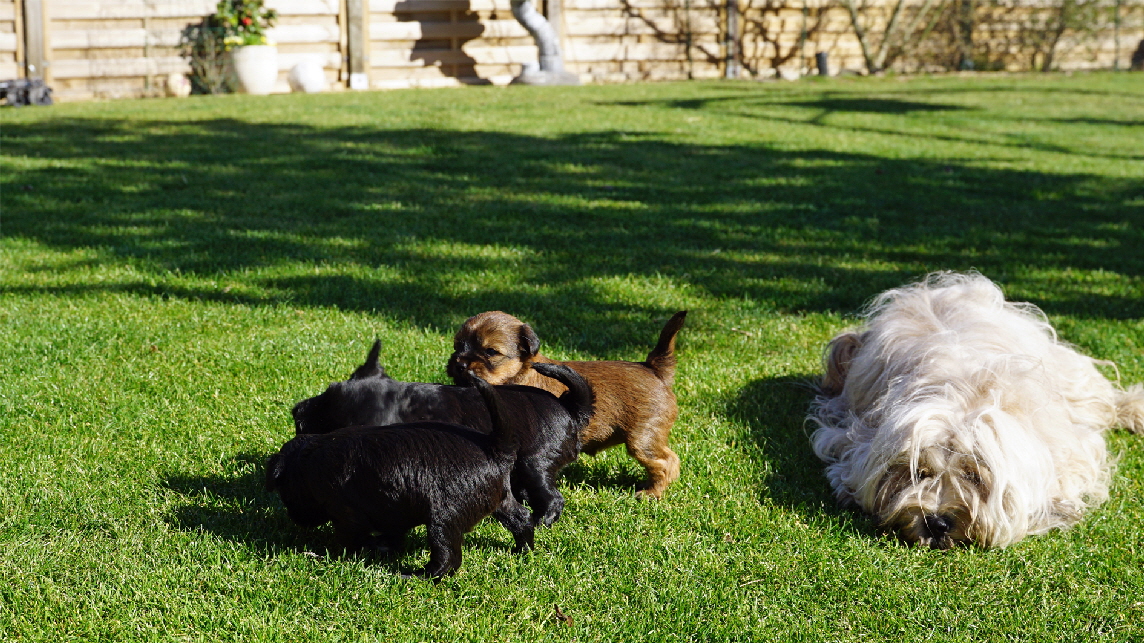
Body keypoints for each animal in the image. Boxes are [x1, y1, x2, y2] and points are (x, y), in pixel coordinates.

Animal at [266, 368, 530, 578]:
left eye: (285, 494)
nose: (295, 519)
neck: (307, 462)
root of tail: (495, 448)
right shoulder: (392, 509)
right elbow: (392, 533)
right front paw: (383, 546)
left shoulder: (346, 513)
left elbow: (350, 537)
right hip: (501, 500)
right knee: (522, 518)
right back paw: (523, 550)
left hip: (444, 519)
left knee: (448, 558)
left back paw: (418, 575)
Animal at [290, 340, 594, 526]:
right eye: (329, 390)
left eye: (329, 413)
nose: (297, 410)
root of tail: (570, 408)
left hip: (534, 465)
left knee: (552, 499)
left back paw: (541, 522)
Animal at [448, 308, 686, 496]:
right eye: (458, 346)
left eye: (490, 351)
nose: (459, 364)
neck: (520, 374)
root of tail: (652, 368)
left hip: (643, 437)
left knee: (667, 462)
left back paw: (651, 493)